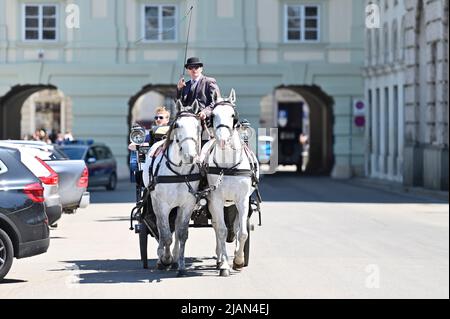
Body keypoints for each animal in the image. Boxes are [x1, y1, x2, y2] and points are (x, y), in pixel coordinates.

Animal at [142, 100, 202, 278]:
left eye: (198, 125)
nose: (190, 156)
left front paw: (180, 264)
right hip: (155, 203)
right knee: (160, 228)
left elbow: (181, 234)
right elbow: (165, 234)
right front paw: (165, 258)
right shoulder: (162, 205)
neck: (179, 173)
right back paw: (161, 256)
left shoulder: (187, 205)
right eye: (177, 125)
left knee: (174, 226)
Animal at [201, 90, 260, 278]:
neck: (227, 166)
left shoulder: (242, 200)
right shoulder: (216, 199)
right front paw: (225, 265)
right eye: (213, 115)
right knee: (217, 226)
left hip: (234, 203)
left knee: (235, 227)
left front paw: (239, 261)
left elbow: (242, 232)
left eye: (233, 115)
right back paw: (220, 258)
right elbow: (221, 230)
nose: (222, 140)